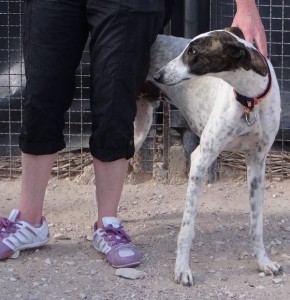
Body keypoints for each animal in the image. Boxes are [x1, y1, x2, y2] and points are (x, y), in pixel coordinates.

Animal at [135, 27, 284, 286]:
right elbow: (187, 228)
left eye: (193, 52)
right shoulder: (201, 158)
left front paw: (263, 262)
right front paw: (182, 269)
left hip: (141, 128)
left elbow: (257, 224)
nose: (158, 74)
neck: (248, 100)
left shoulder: (257, 163)